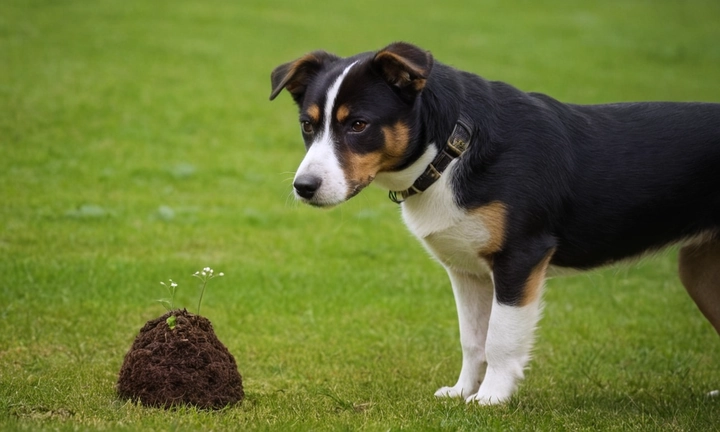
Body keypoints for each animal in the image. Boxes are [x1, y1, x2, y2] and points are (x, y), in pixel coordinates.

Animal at [270, 42, 720, 404]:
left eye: (359, 124)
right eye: (308, 125)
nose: (304, 187)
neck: (451, 152)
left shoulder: (521, 258)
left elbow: (501, 339)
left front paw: (490, 399)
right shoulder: (467, 271)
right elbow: (473, 340)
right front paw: (462, 391)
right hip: (701, 272)